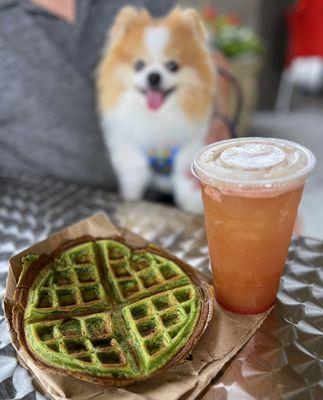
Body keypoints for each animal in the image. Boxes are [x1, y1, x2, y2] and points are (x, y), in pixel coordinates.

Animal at [97, 7, 216, 212]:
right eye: (138, 65)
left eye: (172, 66)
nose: (154, 76)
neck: (157, 118)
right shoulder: (131, 152)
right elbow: (135, 177)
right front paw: (131, 198)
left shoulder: (187, 150)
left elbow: (182, 177)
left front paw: (192, 203)